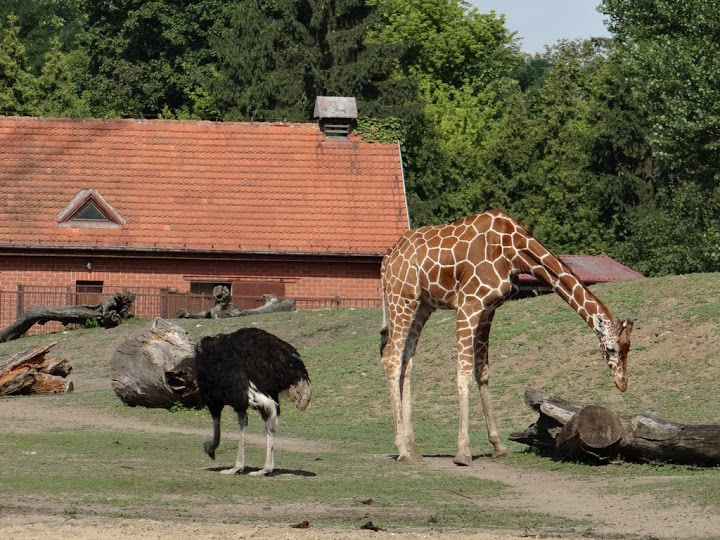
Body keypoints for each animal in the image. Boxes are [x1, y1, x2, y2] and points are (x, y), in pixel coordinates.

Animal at [379, 210, 634, 465]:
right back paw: (402, 449)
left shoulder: (488, 310)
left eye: (628, 348)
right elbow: (464, 374)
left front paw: (498, 446)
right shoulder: (468, 305)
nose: (622, 384)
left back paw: (413, 449)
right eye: (610, 349)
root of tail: (387, 260)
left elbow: (482, 372)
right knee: (391, 359)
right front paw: (463, 452)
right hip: (402, 299)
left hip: (423, 305)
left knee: (407, 361)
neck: (513, 252)